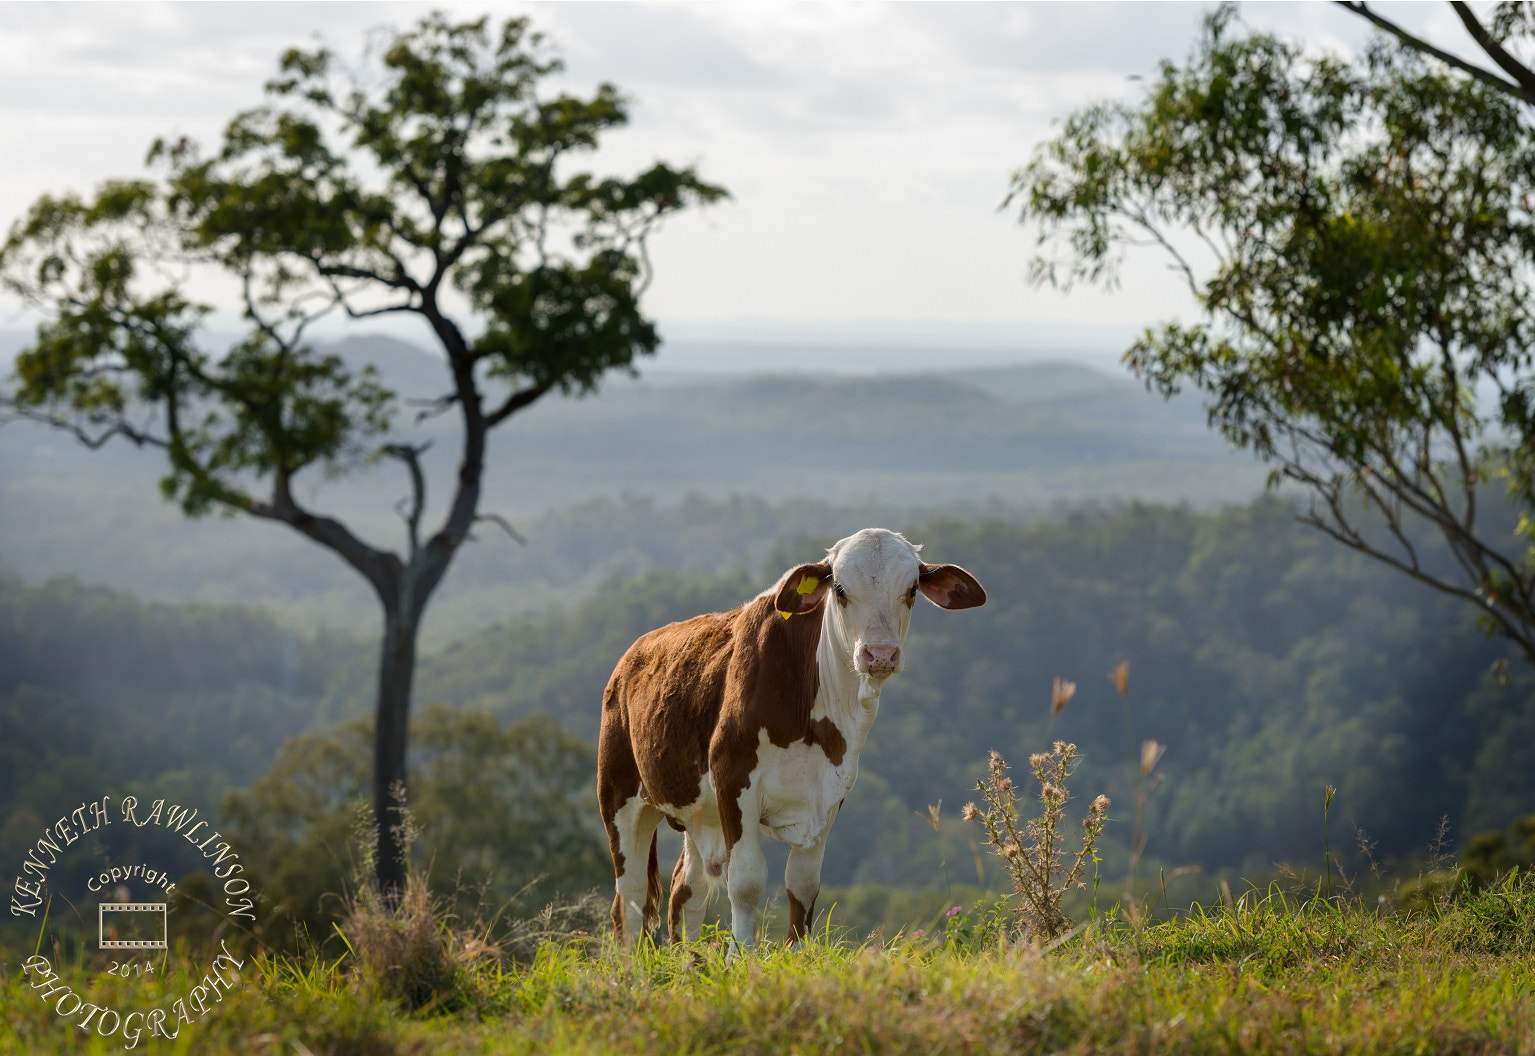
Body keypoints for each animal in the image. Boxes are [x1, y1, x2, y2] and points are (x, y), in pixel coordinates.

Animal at [597, 528, 986, 948]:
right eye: (840, 589)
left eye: (912, 589)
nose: (880, 654)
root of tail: (632, 655)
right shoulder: (733, 776)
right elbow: (746, 882)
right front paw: (741, 956)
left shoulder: (830, 791)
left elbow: (803, 886)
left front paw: (796, 952)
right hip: (619, 796)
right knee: (630, 897)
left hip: (700, 813)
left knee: (687, 889)